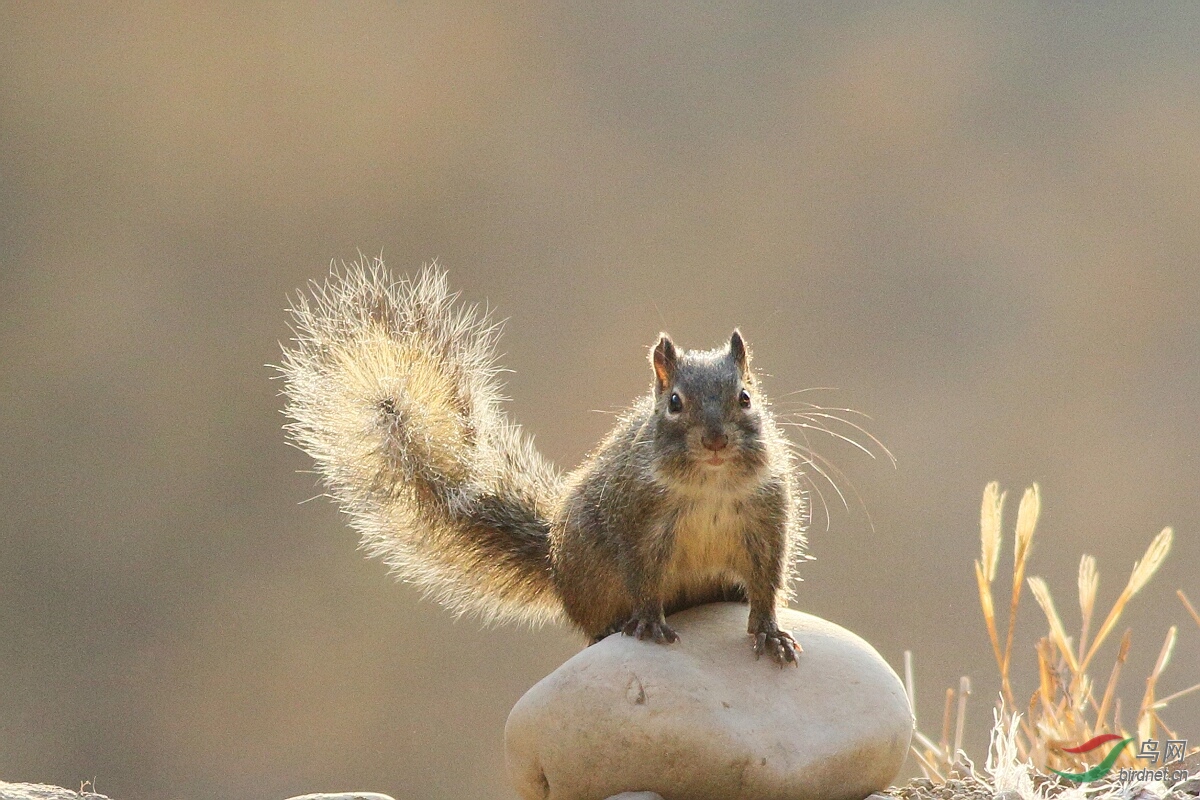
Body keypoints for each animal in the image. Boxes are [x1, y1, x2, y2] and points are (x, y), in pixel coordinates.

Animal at [277, 260, 811, 666]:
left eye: (745, 398)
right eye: (674, 403)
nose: (716, 441)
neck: (709, 484)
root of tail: (554, 561)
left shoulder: (766, 520)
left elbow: (767, 582)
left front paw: (770, 631)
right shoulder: (636, 523)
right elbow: (642, 577)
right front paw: (648, 619)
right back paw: (612, 626)